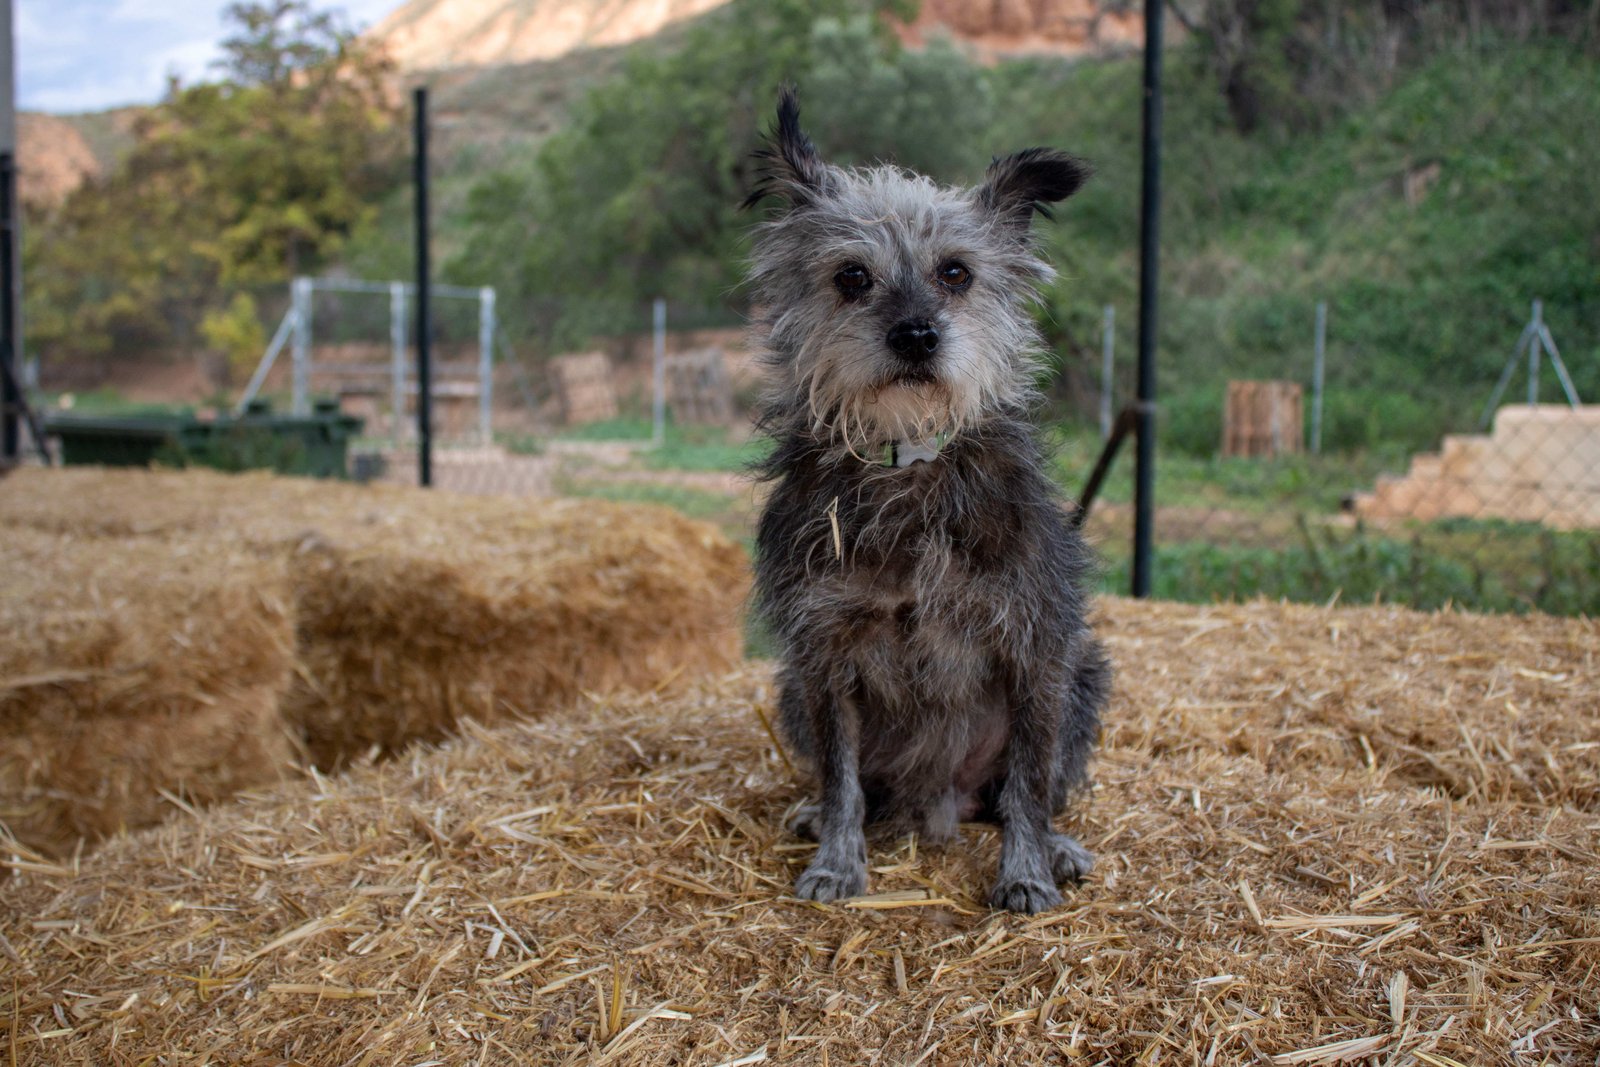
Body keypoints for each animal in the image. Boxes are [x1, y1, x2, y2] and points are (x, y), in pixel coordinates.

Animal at [748, 87, 1113, 915]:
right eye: (852, 276)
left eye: (956, 272)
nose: (916, 335)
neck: (907, 462)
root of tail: (940, 795)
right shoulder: (822, 652)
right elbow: (843, 777)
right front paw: (838, 860)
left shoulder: (1036, 644)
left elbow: (1028, 786)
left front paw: (1027, 871)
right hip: (790, 690)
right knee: (870, 787)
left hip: (1083, 674)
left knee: (1015, 793)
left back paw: (1058, 845)